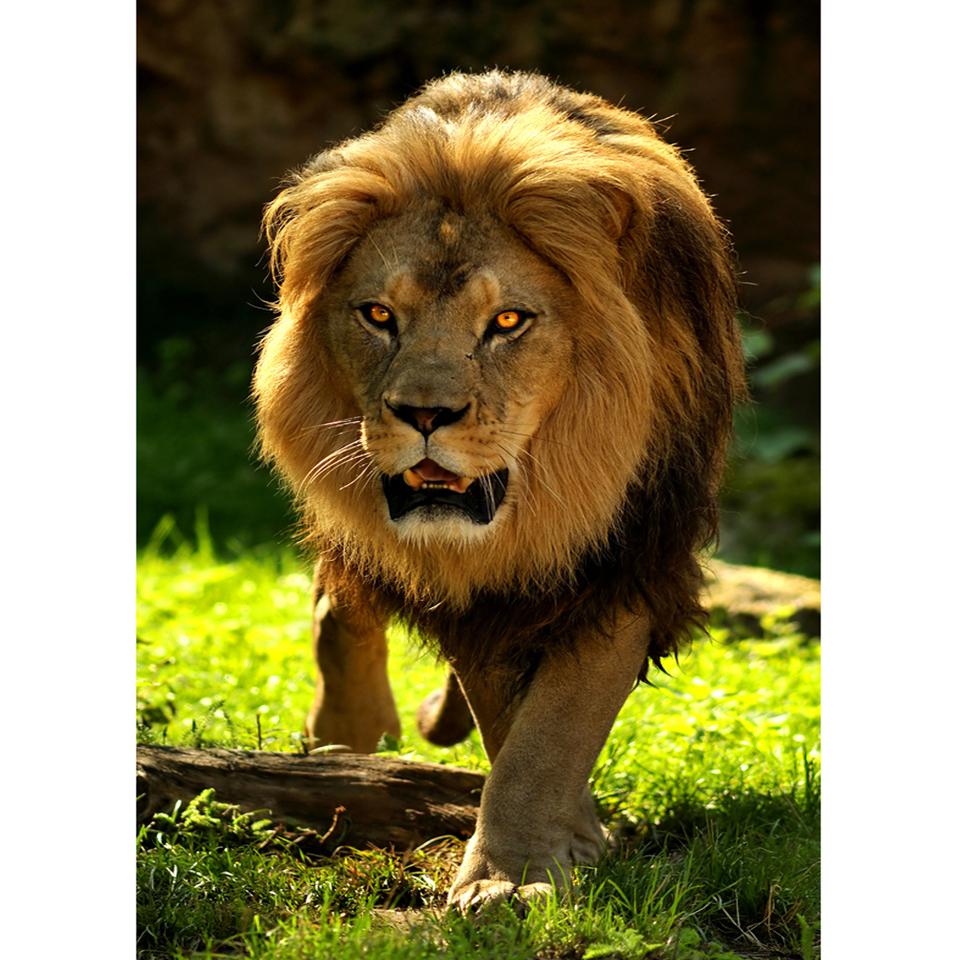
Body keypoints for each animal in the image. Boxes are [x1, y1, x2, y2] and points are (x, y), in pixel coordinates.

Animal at [253, 70, 746, 910]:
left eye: (509, 321)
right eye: (378, 315)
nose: (425, 415)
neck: (528, 512)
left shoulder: (628, 559)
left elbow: (550, 731)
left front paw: (518, 873)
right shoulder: (479, 593)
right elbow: (509, 719)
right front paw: (553, 849)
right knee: (338, 602)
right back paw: (344, 734)